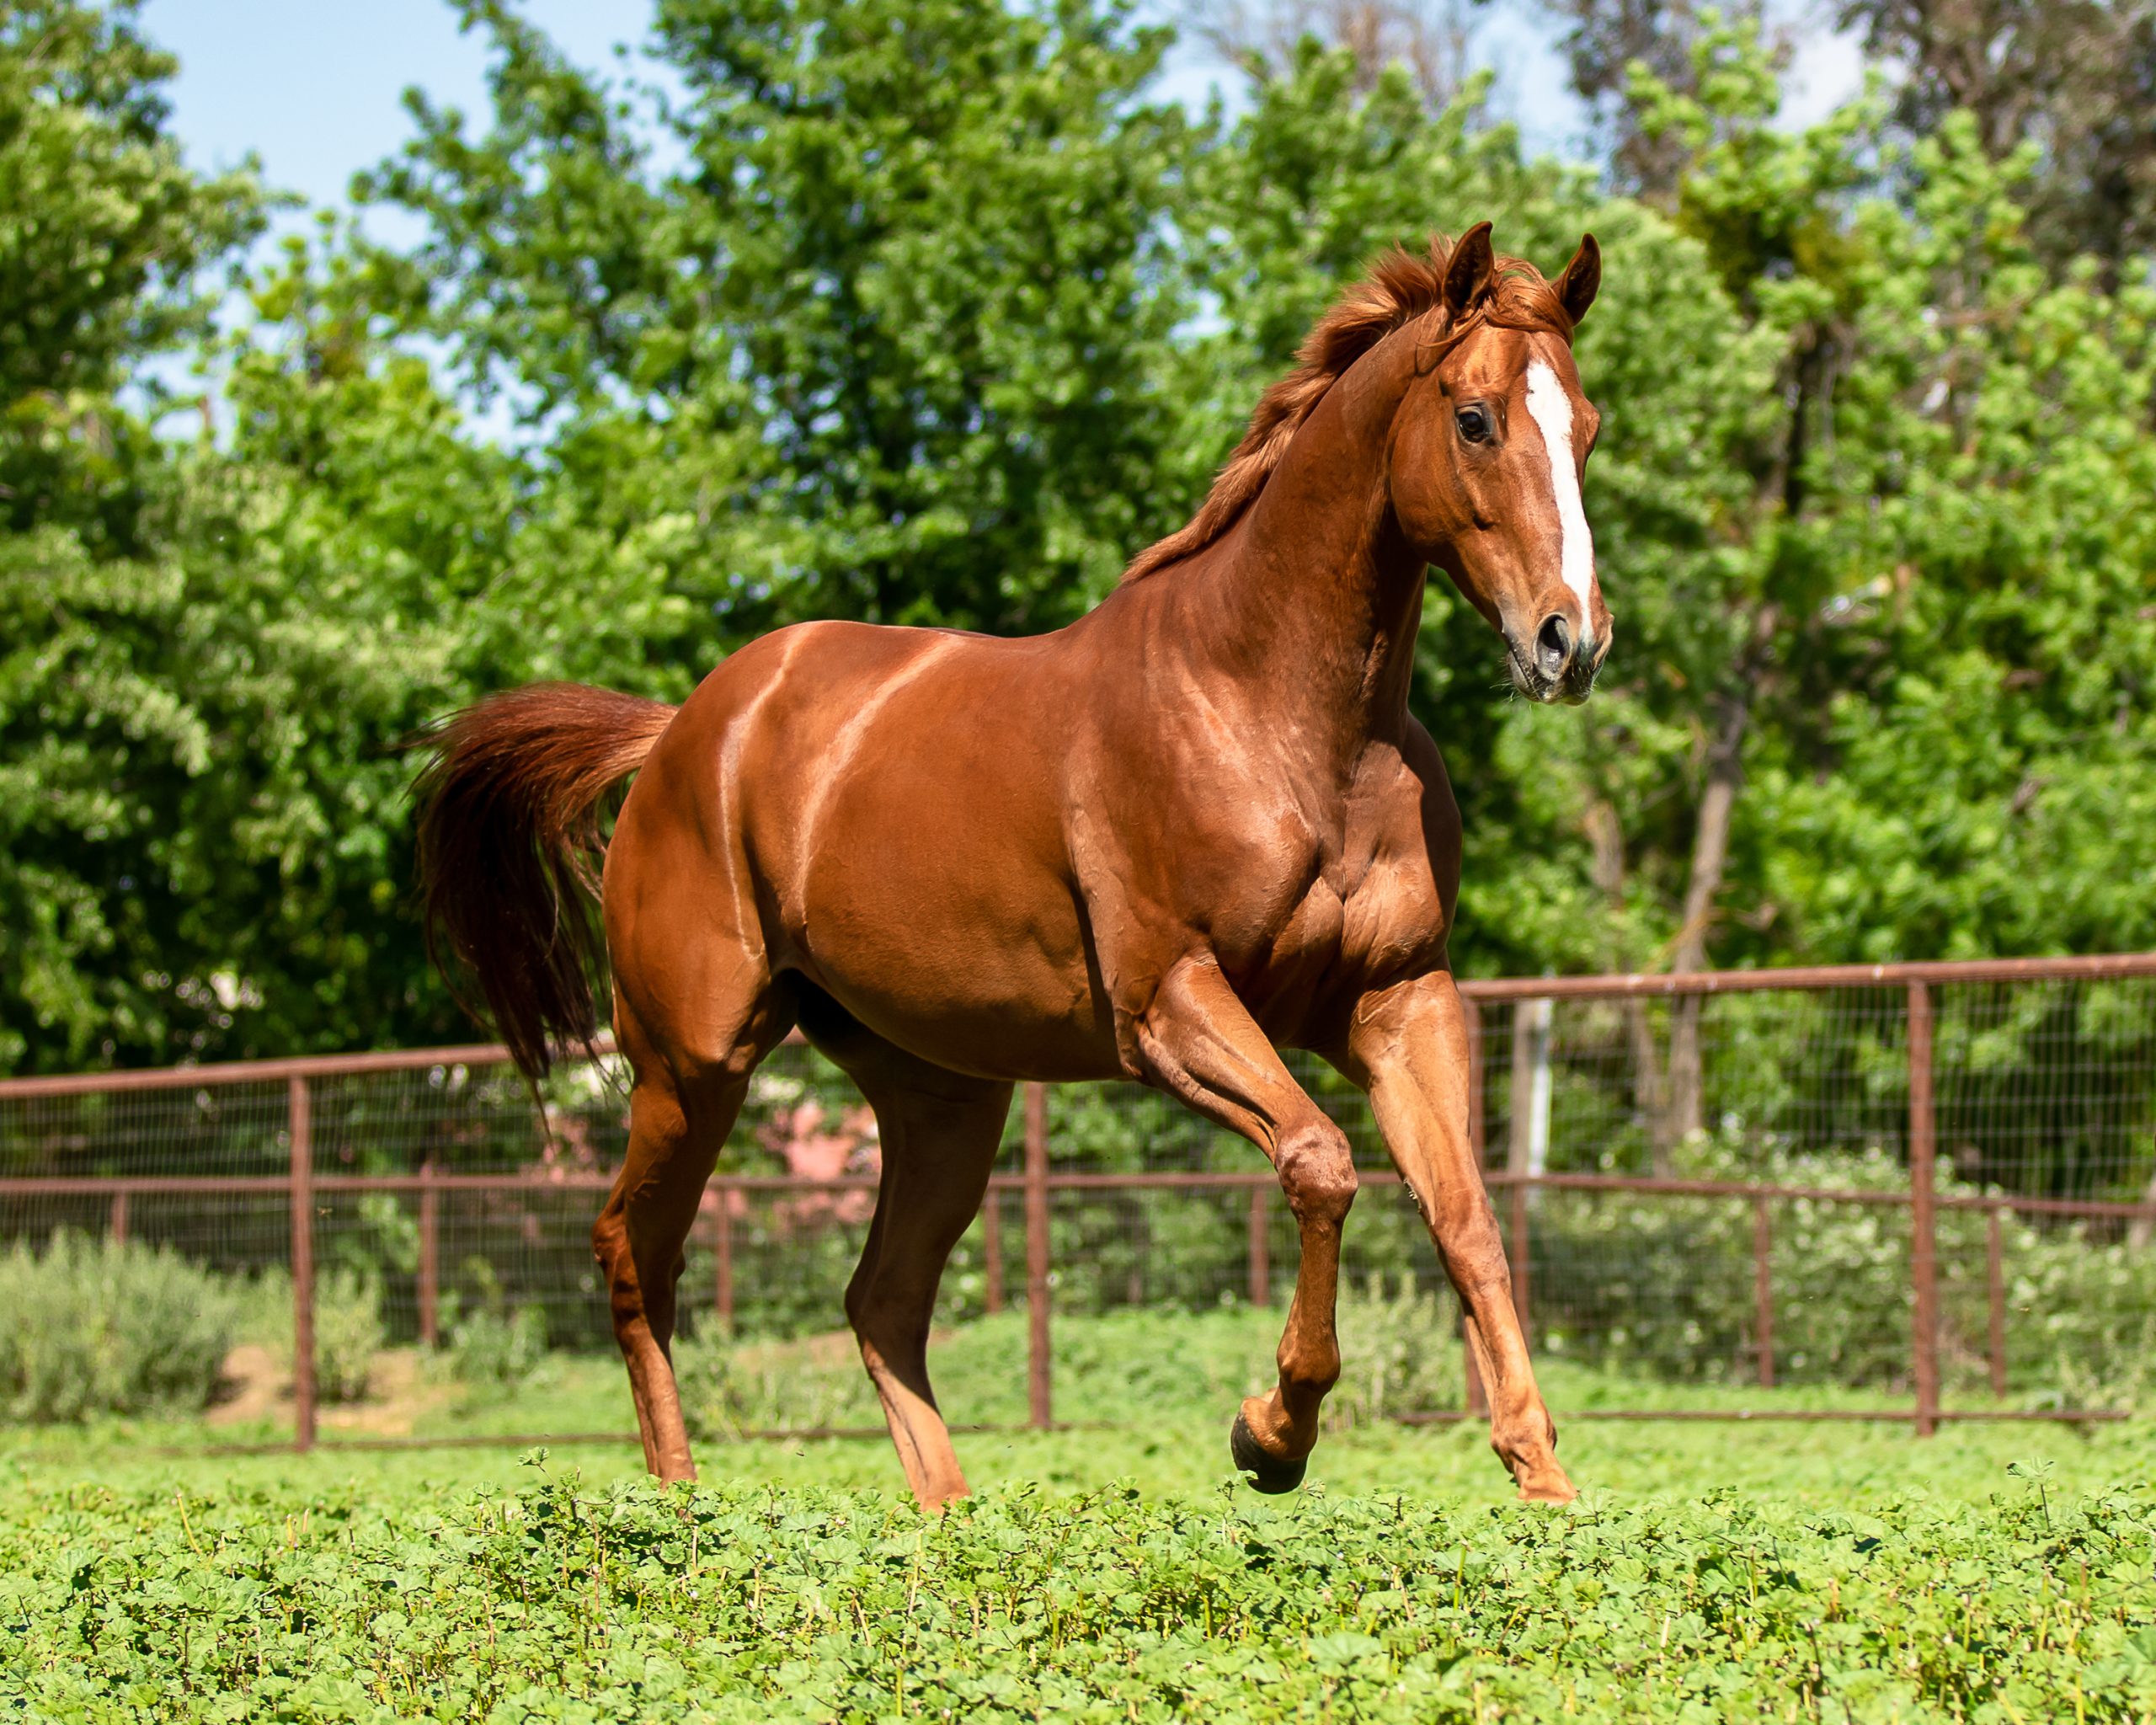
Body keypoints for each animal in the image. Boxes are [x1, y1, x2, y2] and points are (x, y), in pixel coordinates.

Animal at [411, 222, 1612, 1500]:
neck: (1282, 717)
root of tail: (679, 731)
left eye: (1586, 425)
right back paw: (681, 1501)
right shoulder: (1168, 1003)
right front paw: (1272, 1432)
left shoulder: (1398, 997)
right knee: (636, 1253)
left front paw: (1543, 1481)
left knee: (880, 1300)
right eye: (1475, 418)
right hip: (691, 1066)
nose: (1570, 642)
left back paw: (948, 1517)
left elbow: (1466, 1213)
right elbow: (1320, 1160)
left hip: (942, 1097)